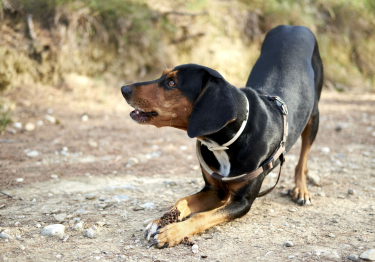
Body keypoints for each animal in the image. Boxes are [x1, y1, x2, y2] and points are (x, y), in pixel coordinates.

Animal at [122, 25, 324, 249]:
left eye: (171, 83)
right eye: (164, 76)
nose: (124, 89)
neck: (228, 140)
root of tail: (293, 26)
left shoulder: (241, 202)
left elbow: (202, 217)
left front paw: (173, 232)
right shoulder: (215, 191)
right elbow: (182, 201)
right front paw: (160, 221)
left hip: (314, 116)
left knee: (303, 157)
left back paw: (301, 190)